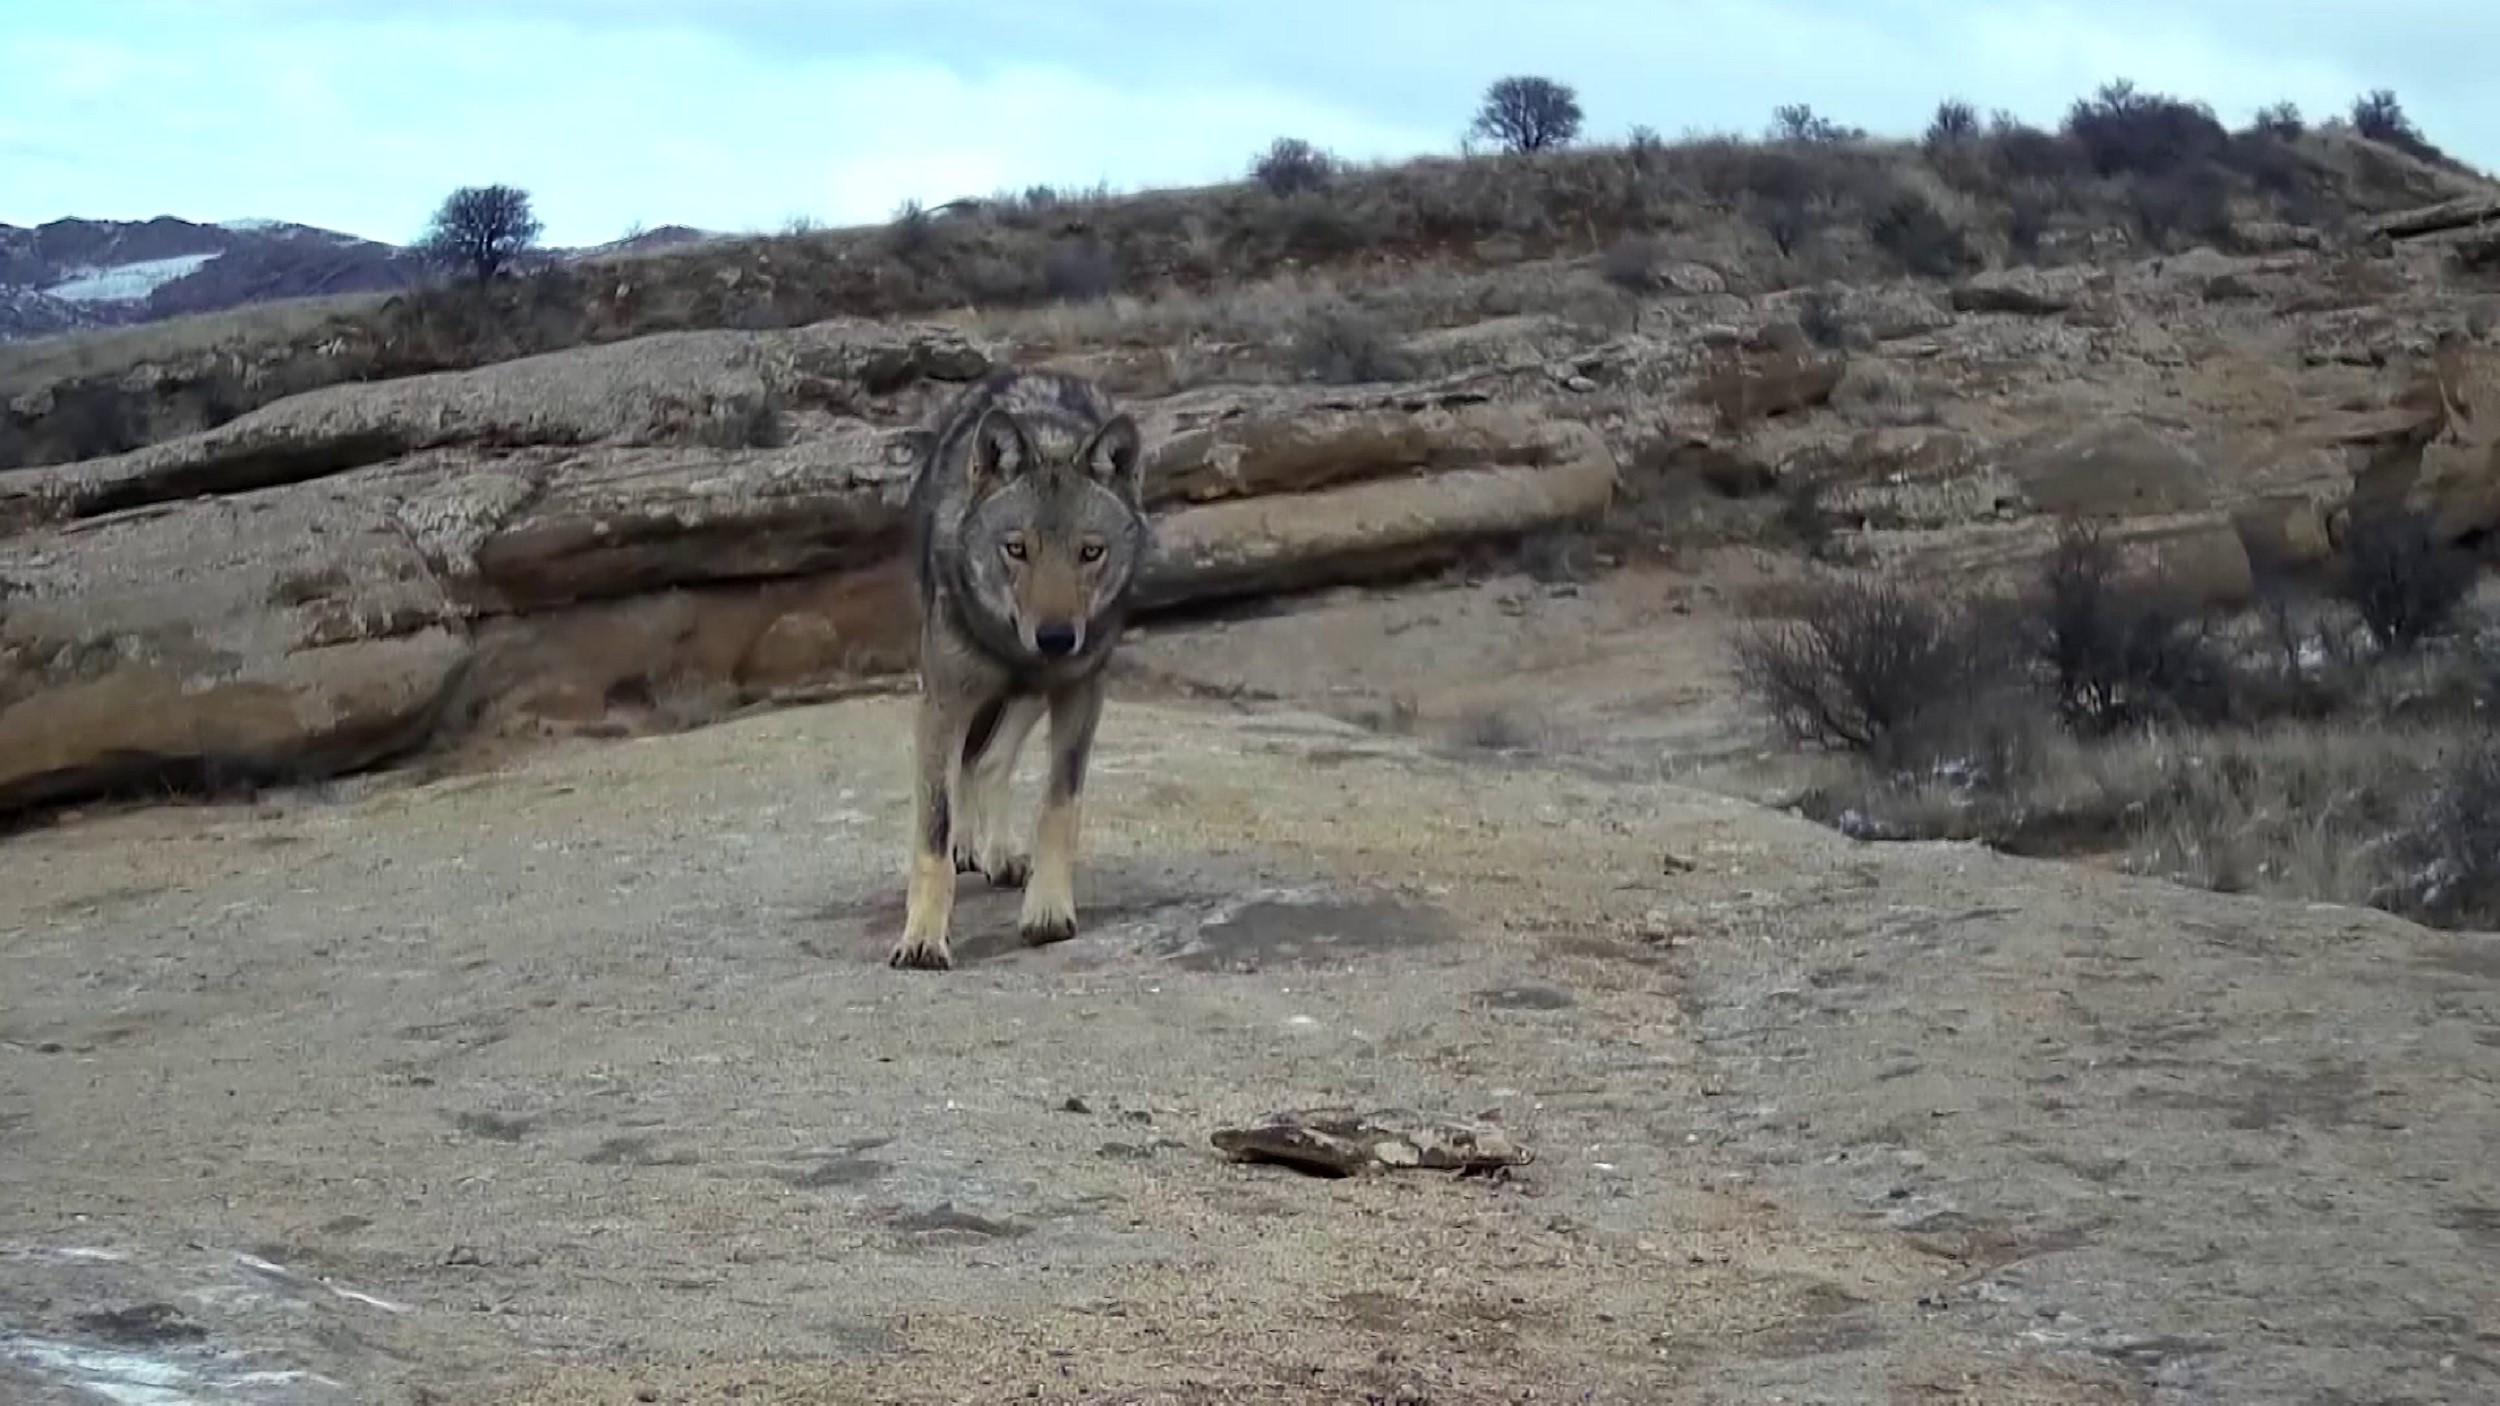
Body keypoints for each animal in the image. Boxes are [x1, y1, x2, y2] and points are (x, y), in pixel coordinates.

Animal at [890, 367, 1150, 970]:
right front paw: (923, 937)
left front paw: (1048, 911)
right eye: (1017, 548)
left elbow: (1059, 806)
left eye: (1090, 552)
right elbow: (932, 832)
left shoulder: (1080, 693)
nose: (1055, 638)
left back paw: (999, 853)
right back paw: (971, 848)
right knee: (970, 762)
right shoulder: (942, 702)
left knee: (986, 761)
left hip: (1032, 693)